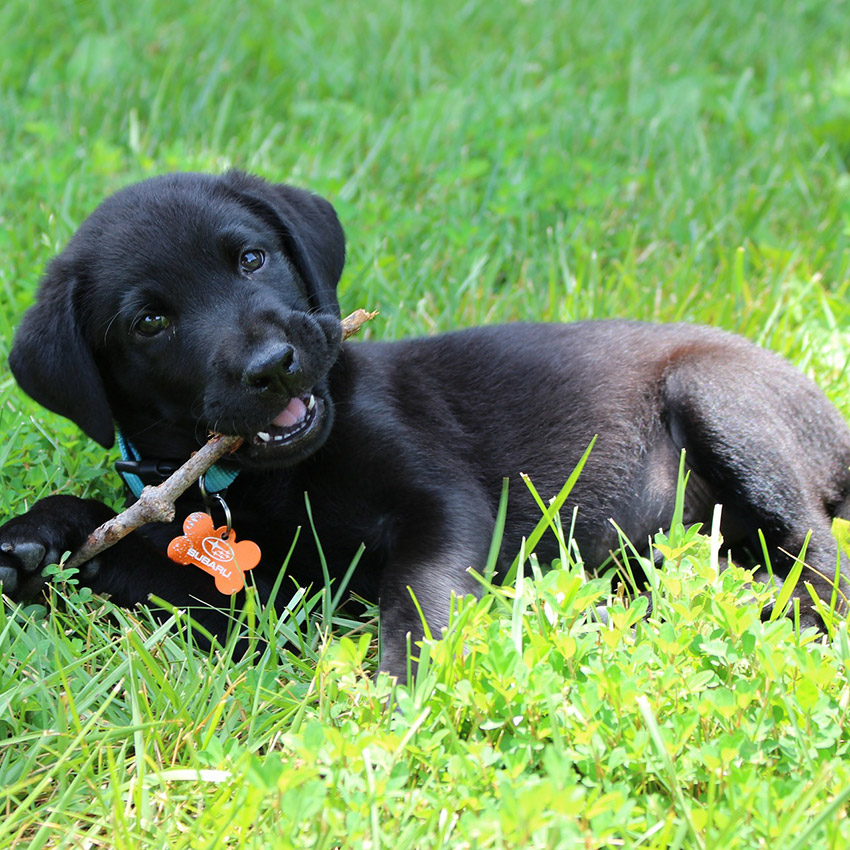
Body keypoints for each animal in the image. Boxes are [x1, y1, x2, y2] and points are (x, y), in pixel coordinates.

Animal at [1, 172, 848, 676]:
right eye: (150, 321)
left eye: (251, 260)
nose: (274, 365)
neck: (268, 477)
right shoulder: (252, 592)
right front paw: (34, 540)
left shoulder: (443, 505)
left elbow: (417, 595)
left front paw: (403, 691)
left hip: (724, 401)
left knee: (819, 562)